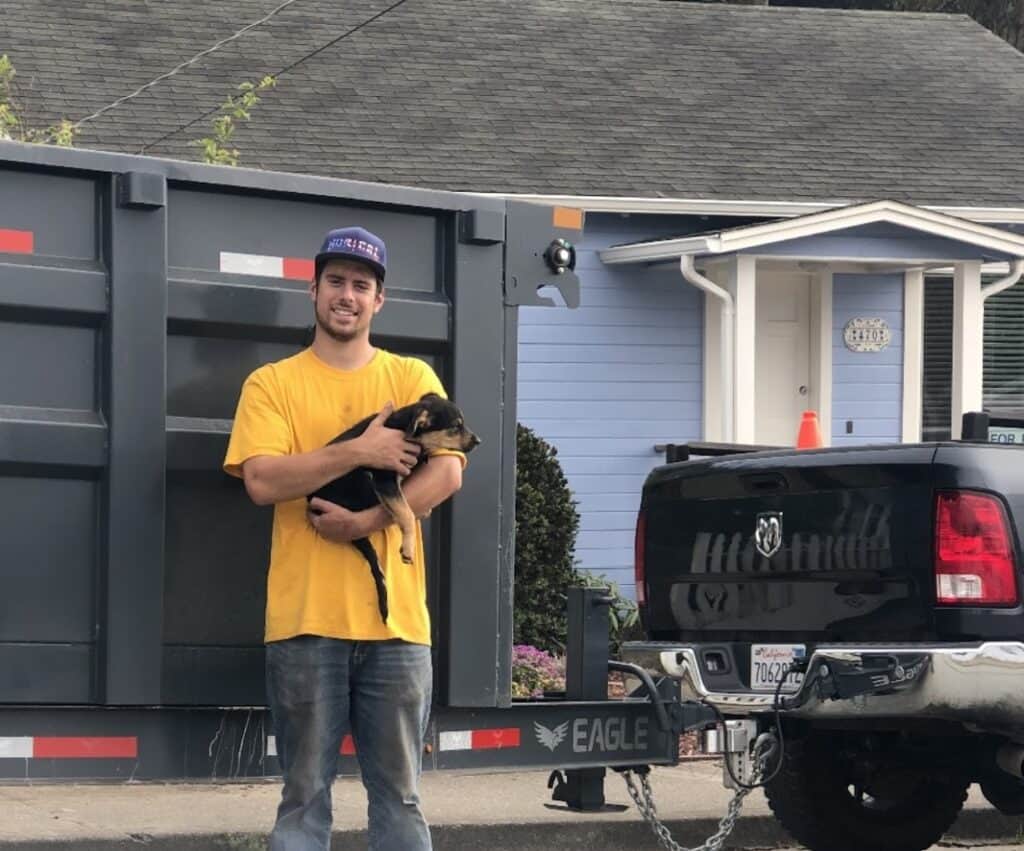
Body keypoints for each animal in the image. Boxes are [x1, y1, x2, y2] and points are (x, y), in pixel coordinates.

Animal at [307, 395, 479, 626]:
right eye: (455, 426)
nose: (479, 441)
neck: (407, 429)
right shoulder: (384, 479)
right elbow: (406, 512)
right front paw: (408, 547)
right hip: (363, 480)